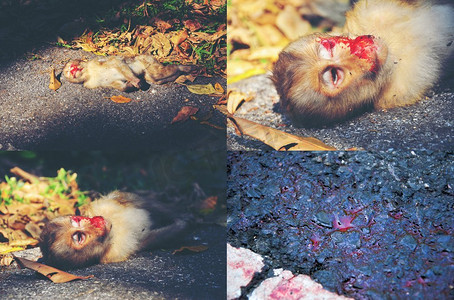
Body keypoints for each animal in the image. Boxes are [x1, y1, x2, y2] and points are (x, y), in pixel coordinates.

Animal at [62, 54, 193, 91]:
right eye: (68, 71)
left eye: (72, 66)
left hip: (146, 60)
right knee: (155, 78)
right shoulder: (89, 84)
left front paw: (134, 80)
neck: (89, 73)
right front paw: (129, 86)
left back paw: (182, 68)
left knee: (158, 73)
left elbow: (116, 62)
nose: (73, 70)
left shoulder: (93, 62)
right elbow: (117, 85)